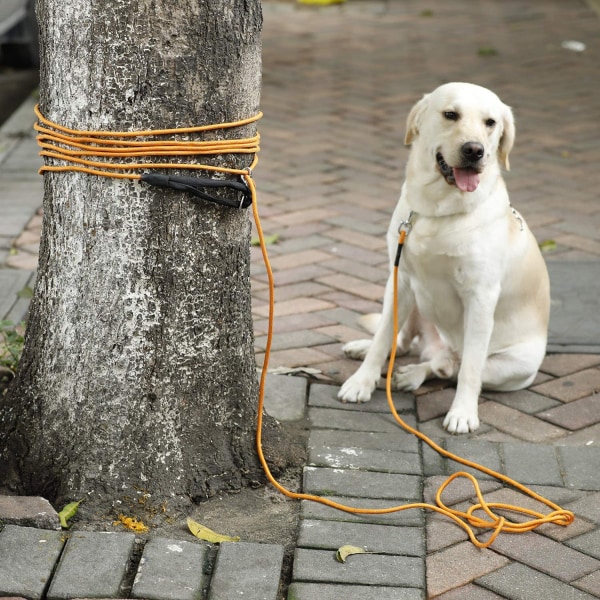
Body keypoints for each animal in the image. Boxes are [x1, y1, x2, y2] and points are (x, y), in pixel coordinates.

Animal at [338, 82, 548, 434]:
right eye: (451, 114)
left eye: (490, 122)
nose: (475, 150)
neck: (437, 209)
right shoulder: (400, 279)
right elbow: (383, 338)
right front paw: (361, 381)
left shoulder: (481, 298)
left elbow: (470, 370)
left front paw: (462, 413)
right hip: (413, 302)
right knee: (405, 343)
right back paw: (370, 351)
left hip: (513, 367)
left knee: (449, 366)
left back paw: (414, 374)